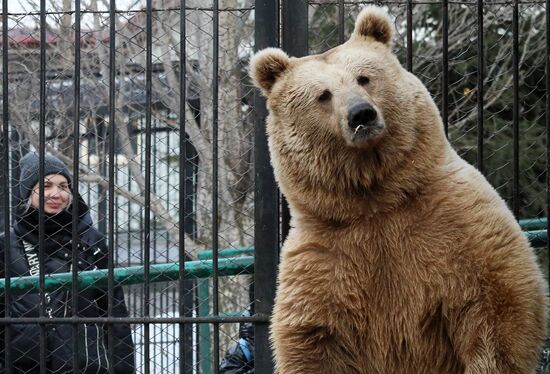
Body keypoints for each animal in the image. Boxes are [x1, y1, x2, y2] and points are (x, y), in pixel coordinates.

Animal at [250, 5, 548, 374]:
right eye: (323, 95)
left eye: (364, 77)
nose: (361, 114)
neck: (375, 197)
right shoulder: (323, 261)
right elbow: (314, 341)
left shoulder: (461, 226)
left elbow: (497, 307)